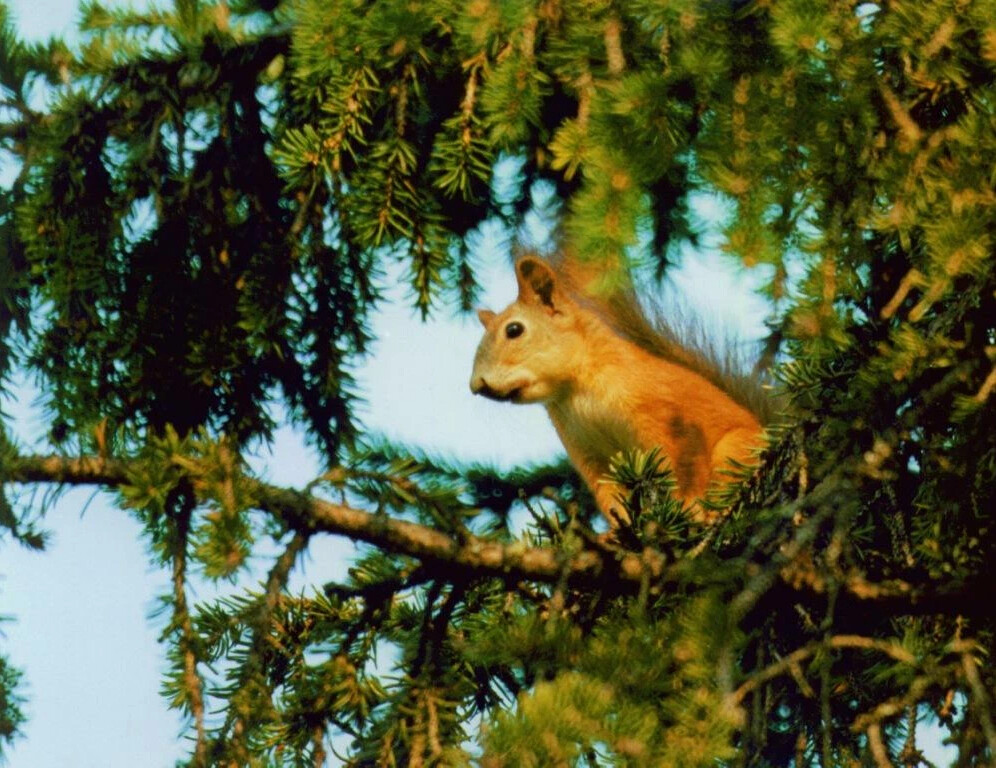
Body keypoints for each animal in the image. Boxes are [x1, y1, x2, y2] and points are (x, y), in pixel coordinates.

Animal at [470, 255, 768, 524]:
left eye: (514, 330)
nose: (475, 385)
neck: (576, 392)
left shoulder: (667, 414)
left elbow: (684, 465)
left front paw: (689, 505)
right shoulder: (586, 450)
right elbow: (607, 491)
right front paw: (619, 531)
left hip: (736, 451)